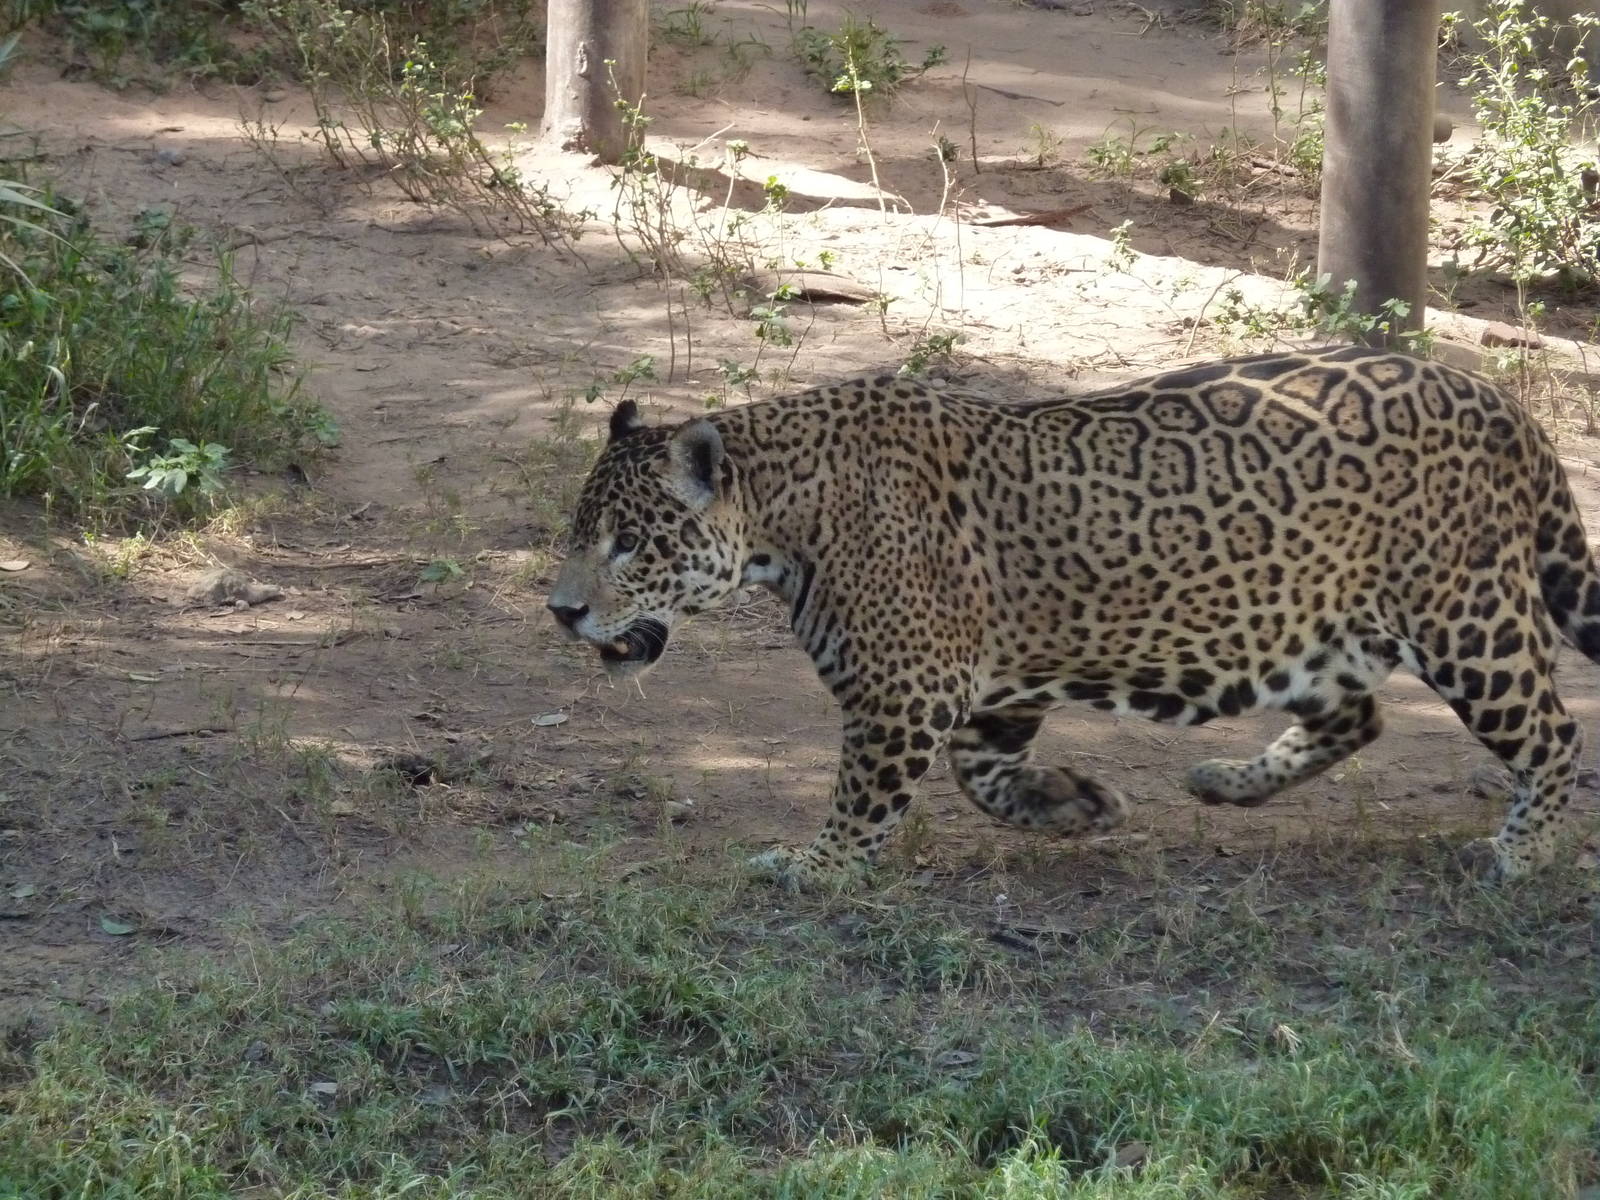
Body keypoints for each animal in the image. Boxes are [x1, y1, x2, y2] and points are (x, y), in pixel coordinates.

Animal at [547, 345, 1600, 889]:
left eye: (629, 544)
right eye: (576, 533)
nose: (560, 611)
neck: (782, 510)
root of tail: (1501, 401)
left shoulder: (905, 691)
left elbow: (863, 796)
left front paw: (817, 865)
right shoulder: (984, 686)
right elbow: (981, 775)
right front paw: (1078, 805)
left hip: (1466, 616)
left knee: (1553, 732)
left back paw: (1524, 850)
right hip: (1310, 618)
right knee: (1359, 713)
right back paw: (1228, 781)